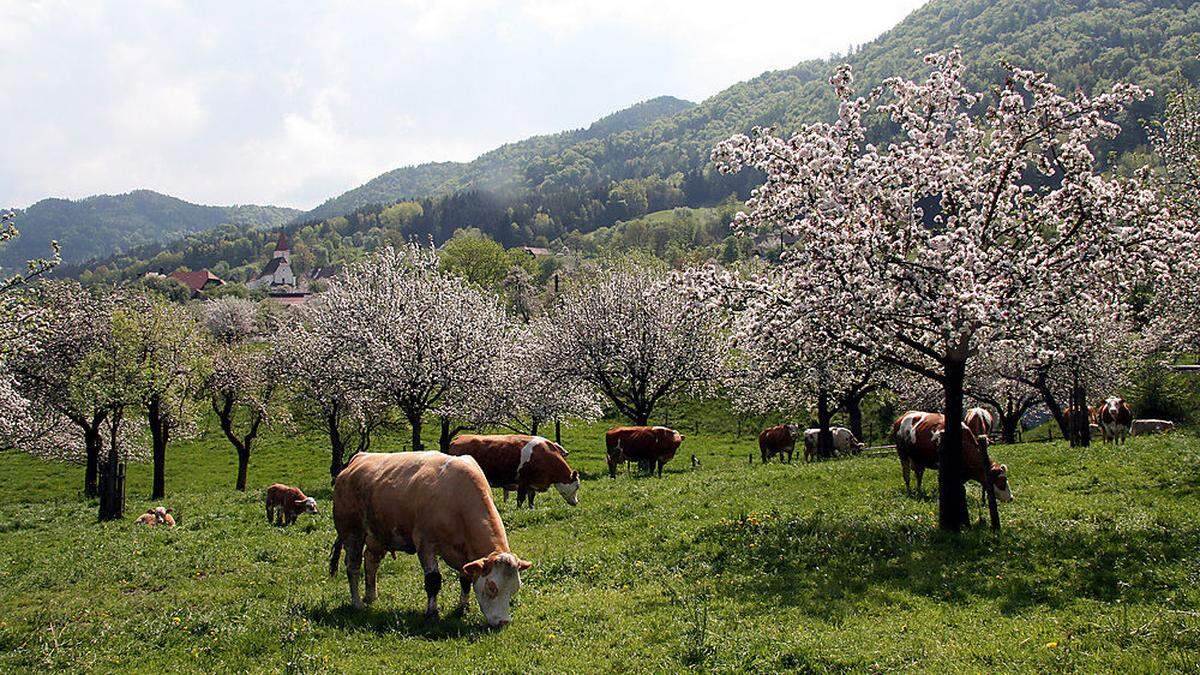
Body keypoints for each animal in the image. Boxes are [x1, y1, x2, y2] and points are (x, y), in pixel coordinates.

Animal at [448, 432, 583, 506]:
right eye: (577, 486)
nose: (576, 502)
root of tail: (458, 439)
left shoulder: (532, 483)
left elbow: (531, 498)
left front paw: (531, 510)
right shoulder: (523, 481)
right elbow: (520, 499)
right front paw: (519, 511)